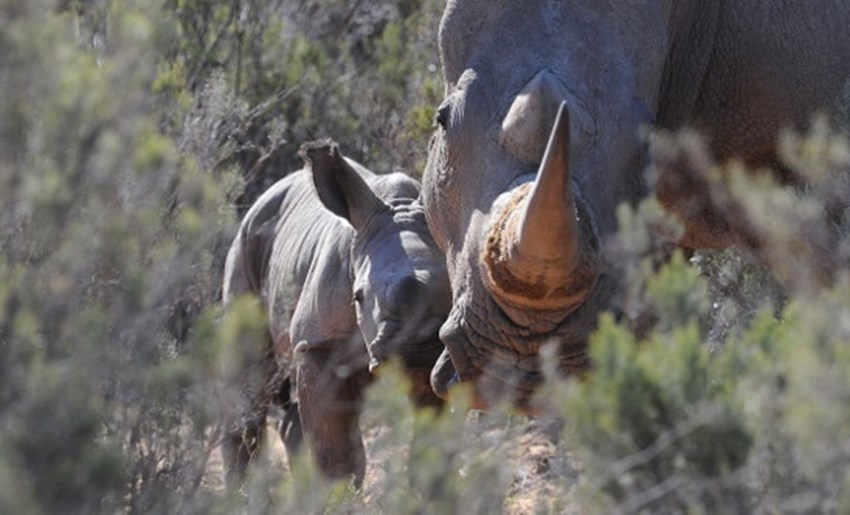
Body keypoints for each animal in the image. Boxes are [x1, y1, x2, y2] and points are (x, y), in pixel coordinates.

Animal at [222, 141, 454, 488]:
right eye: (359, 296)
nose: (418, 345)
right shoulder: (320, 344)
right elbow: (337, 452)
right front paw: (336, 494)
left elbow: (431, 436)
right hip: (245, 247)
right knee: (248, 370)